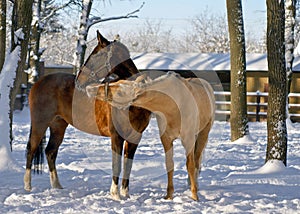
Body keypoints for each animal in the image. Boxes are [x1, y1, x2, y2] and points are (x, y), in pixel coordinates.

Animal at [23, 30, 151, 200]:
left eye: (95, 55)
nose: (79, 79)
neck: (129, 95)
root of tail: (38, 82)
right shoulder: (116, 136)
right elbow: (116, 164)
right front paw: (115, 194)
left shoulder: (134, 138)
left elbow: (127, 165)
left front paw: (125, 194)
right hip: (40, 123)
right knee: (31, 149)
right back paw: (28, 186)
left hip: (58, 125)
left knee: (50, 151)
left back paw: (57, 186)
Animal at [86, 72, 216, 201]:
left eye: (120, 92)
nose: (90, 88)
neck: (173, 105)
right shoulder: (166, 139)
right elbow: (169, 165)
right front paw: (169, 196)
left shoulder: (188, 140)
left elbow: (190, 165)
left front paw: (194, 197)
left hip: (203, 134)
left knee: (196, 161)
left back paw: (195, 186)